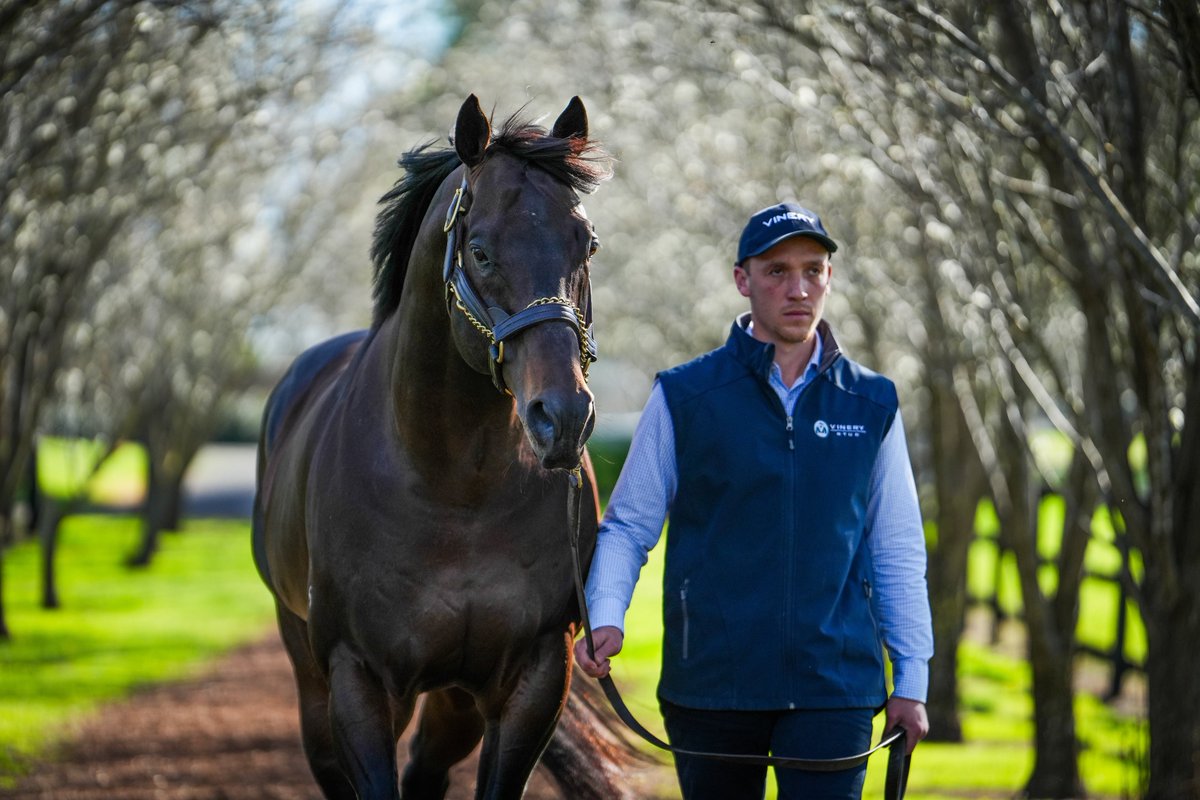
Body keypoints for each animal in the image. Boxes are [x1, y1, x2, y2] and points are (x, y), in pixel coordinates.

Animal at [251, 95, 635, 800]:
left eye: (586, 243)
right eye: (479, 251)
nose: (563, 419)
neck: (453, 490)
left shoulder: (533, 676)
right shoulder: (359, 681)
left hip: (454, 701)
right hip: (311, 677)